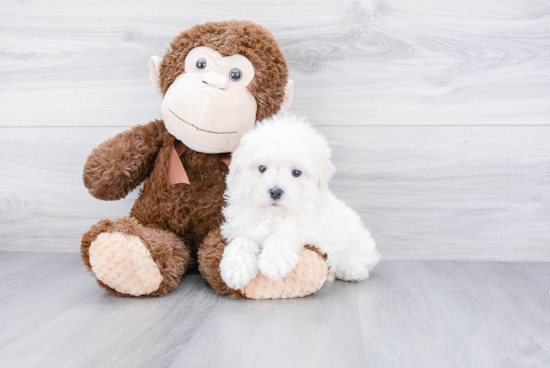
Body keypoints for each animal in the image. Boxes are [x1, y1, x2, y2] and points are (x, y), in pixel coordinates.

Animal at [219, 113, 380, 290]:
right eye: (262, 168)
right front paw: (236, 268)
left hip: (359, 244)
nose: (275, 192)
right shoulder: (241, 225)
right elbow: (241, 240)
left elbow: (288, 232)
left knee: (361, 261)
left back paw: (352, 272)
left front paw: (275, 260)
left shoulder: (309, 229)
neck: (273, 215)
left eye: (296, 172)